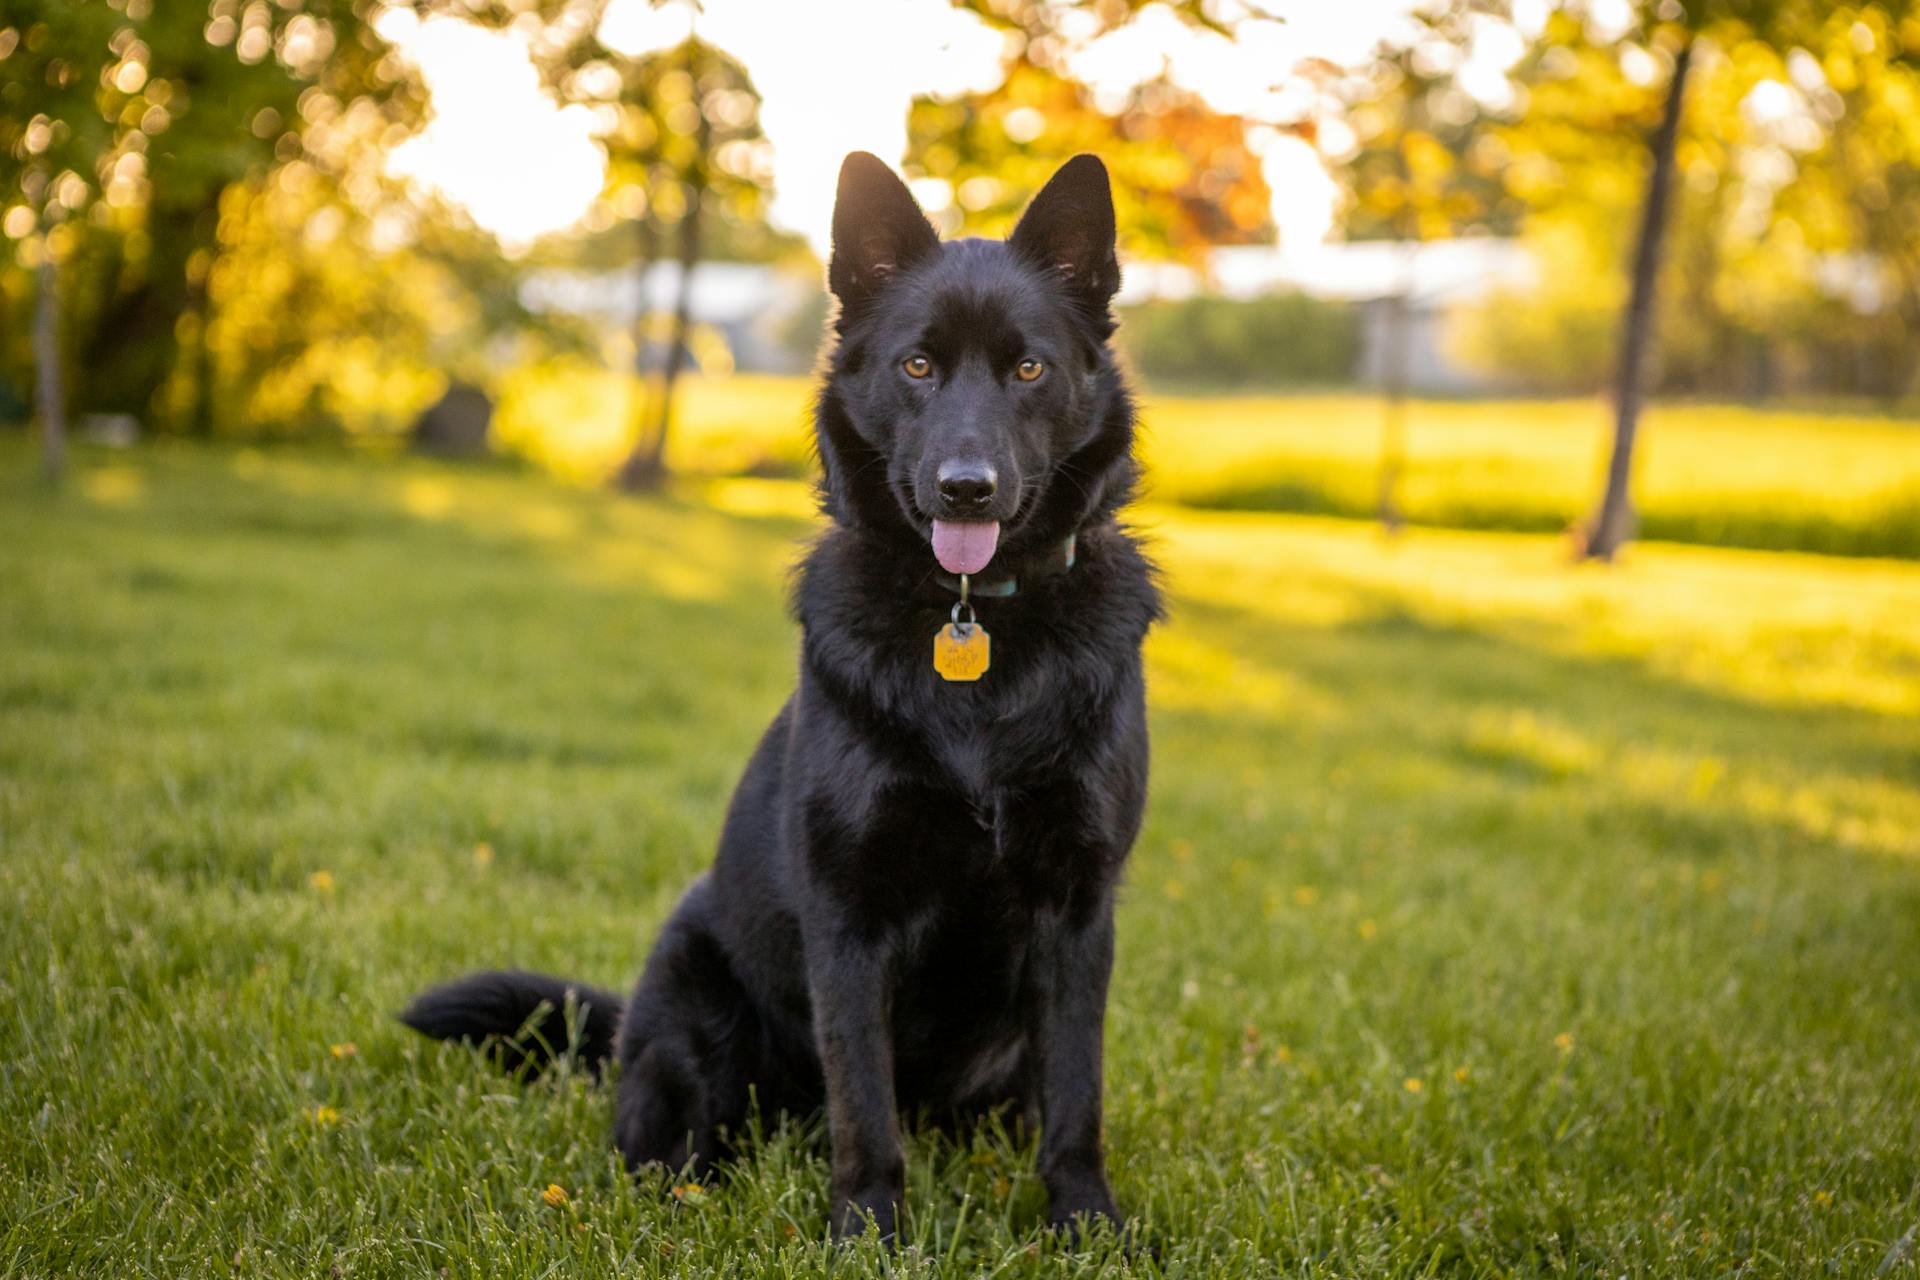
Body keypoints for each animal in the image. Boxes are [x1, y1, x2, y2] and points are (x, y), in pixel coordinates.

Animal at [403, 150, 1152, 1243]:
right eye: (916, 367)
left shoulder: (1078, 907)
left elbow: (1077, 1092)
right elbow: (864, 1100)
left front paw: (1085, 1223)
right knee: (672, 1143)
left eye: (1029, 369)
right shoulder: (848, 917)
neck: (970, 619)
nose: (965, 488)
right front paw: (870, 1232)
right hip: (691, 1007)